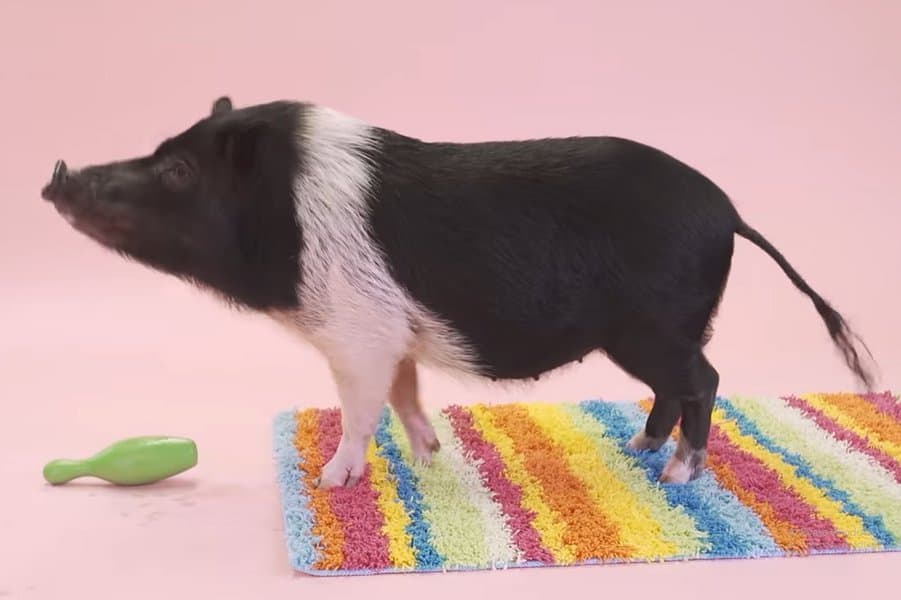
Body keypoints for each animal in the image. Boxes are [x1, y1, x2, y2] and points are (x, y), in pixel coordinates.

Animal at [41, 96, 876, 488]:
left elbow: (360, 409)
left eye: (179, 170)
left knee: (704, 380)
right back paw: (636, 448)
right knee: (678, 387)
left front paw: (332, 480)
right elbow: (406, 395)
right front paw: (430, 455)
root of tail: (728, 211)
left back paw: (673, 473)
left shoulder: (357, 334)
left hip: (656, 325)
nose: (56, 175)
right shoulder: (391, 335)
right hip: (652, 332)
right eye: (160, 152)